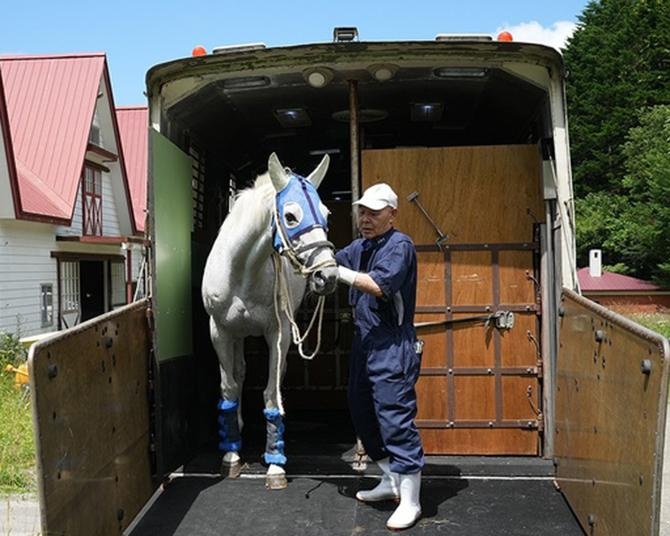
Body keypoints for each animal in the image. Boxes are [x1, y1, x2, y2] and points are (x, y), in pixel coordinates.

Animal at [202, 151, 338, 490]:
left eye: (327, 215)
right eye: (290, 216)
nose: (327, 275)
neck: (242, 269)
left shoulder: (278, 332)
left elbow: (272, 394)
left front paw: (276, 464)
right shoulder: (219, 331)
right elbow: (228, 386)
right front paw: (230, 455)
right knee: (238, 373)